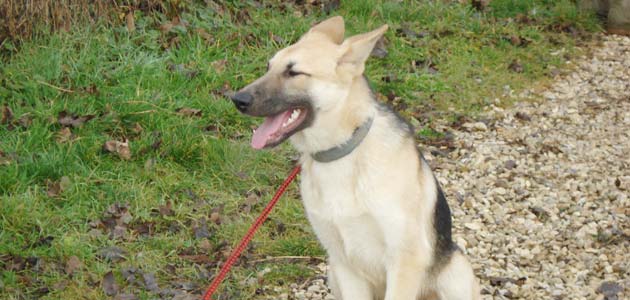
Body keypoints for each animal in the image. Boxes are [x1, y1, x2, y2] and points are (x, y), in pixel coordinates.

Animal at [232, 16, 484, 300]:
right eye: (268, 67)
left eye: (294, 73)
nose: (237, 99)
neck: (342, 151)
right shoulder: (344, 264)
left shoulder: (404, 261)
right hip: (333, 272)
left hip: (456, 273)